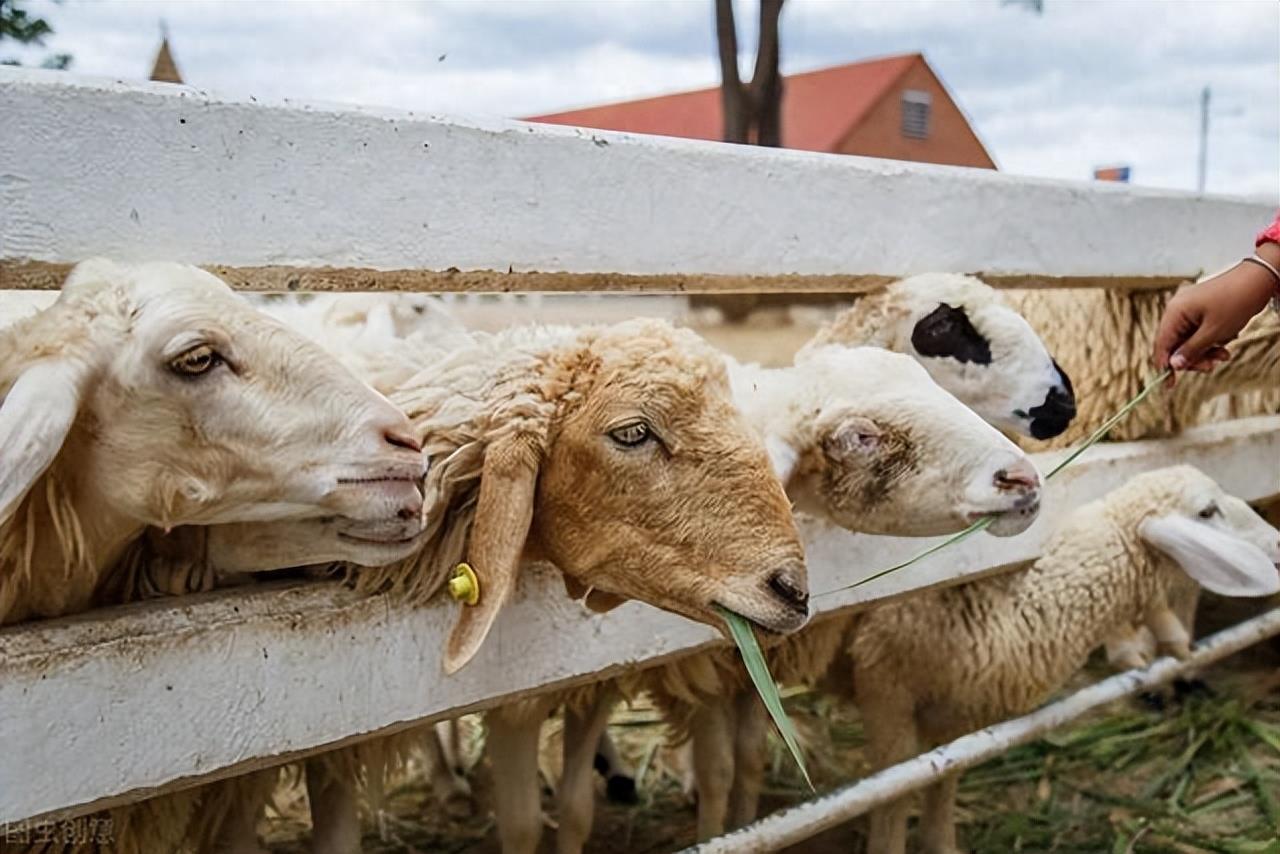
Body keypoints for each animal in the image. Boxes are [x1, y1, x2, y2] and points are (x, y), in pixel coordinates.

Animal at [849, 468, 1280, 854]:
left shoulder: (956, 714)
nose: (1276, 541)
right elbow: (892, 794)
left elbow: (945, 777)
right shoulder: (883, 686)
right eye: (1207, 510)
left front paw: (940, 844)